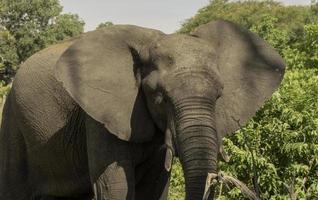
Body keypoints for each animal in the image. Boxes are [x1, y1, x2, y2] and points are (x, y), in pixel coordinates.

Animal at [0, 19, 284, 199]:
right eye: (160, 96)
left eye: (219, 96)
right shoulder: (98, 118)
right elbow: (113, 186)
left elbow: (156, 185)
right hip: (12, 123)